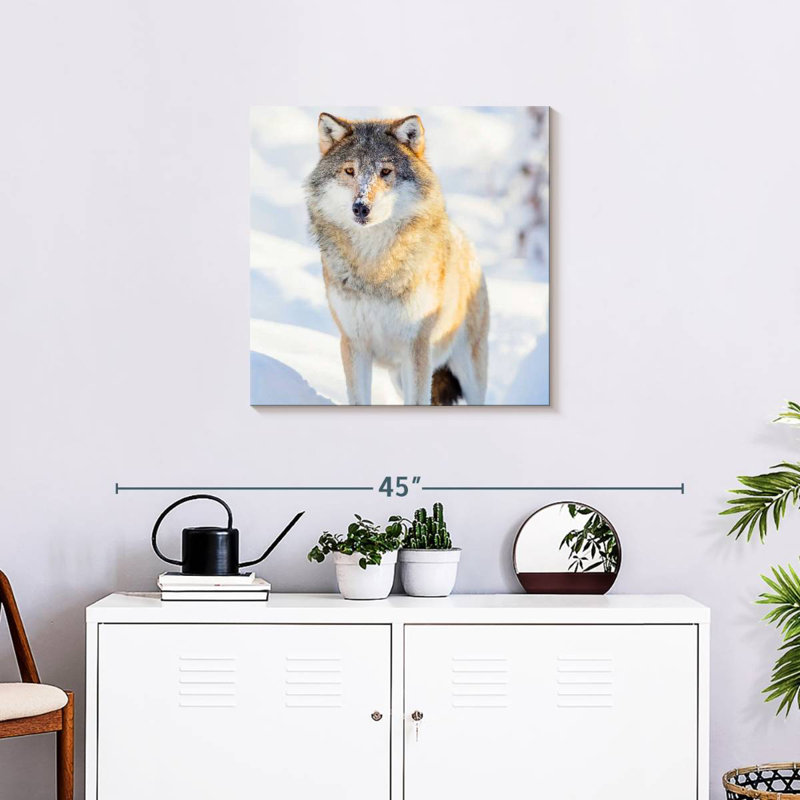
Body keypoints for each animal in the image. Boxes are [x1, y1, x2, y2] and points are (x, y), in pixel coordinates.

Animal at [304, 112, 489, 405]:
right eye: (349, 171)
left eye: (385, 172)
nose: (360, 207)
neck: (374, 265)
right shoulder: (354, 344)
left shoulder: (416, 347)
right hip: (399, 377)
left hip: (467, 373)